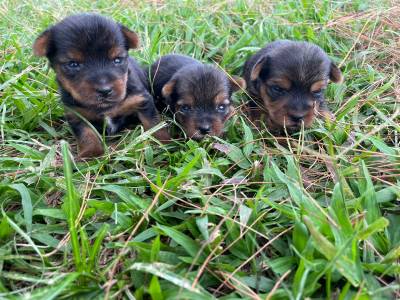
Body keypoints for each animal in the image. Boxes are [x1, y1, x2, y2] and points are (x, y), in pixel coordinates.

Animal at [32, 13, 168, 158]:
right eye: (73, 64)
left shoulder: (141, 100)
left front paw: (163, 142)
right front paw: (91, 154)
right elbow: (86, 135)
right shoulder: (76, 114)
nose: (105, 90)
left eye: (117, 60)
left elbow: (153, 123)